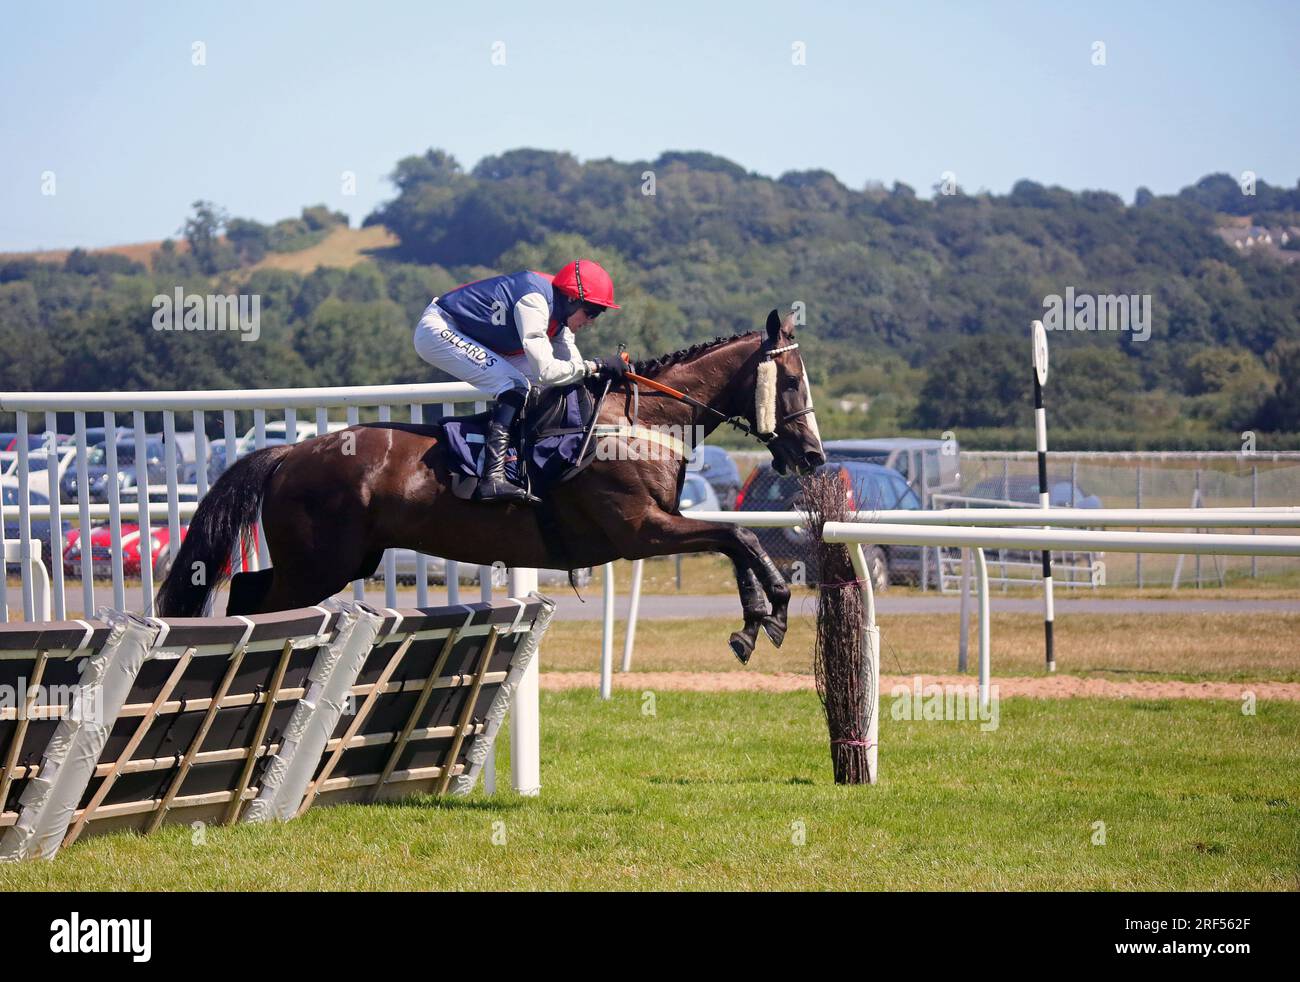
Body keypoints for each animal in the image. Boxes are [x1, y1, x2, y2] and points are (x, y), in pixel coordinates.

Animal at [154, 306, 821, 660]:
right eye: (790, 383)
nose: (814, 456)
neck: (642, 420)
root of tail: (290, 452)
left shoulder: (660, 526)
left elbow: (736, 541)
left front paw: (755, 622)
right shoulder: (640, 532)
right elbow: (738, 536)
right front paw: (774, 610)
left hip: (333, 560)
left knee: (246, 591)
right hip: (318, 564)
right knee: (257, 601)